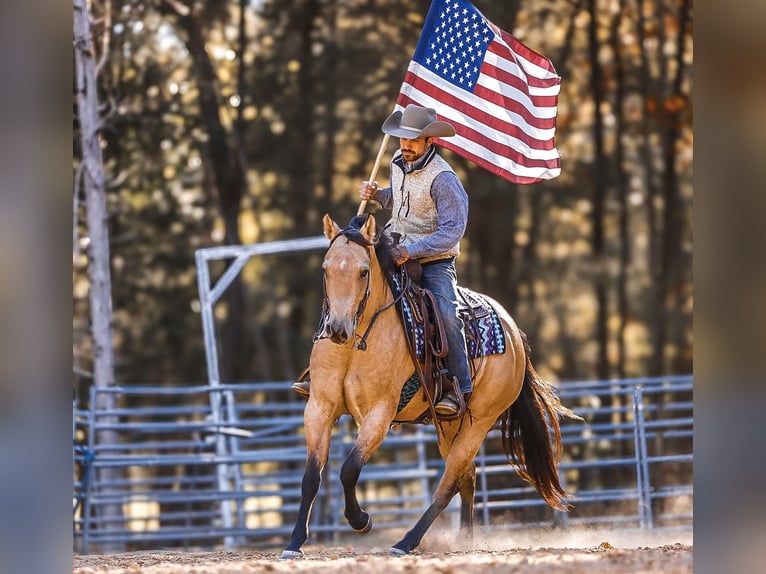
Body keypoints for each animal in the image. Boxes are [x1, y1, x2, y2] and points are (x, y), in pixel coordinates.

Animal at [282, 214, 576, 560]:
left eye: (363, 271)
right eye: (326, 269)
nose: (338, 329)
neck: (354, 346)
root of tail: (514, 333)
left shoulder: (379, 413)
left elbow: (349, 469)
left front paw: (361, 520)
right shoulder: (319, 408)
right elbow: (311, 477)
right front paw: (294, 543)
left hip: (481, 421)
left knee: (448, 483)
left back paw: (406, 542)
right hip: (449, 425)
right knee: (466, 476)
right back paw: (465, 540)